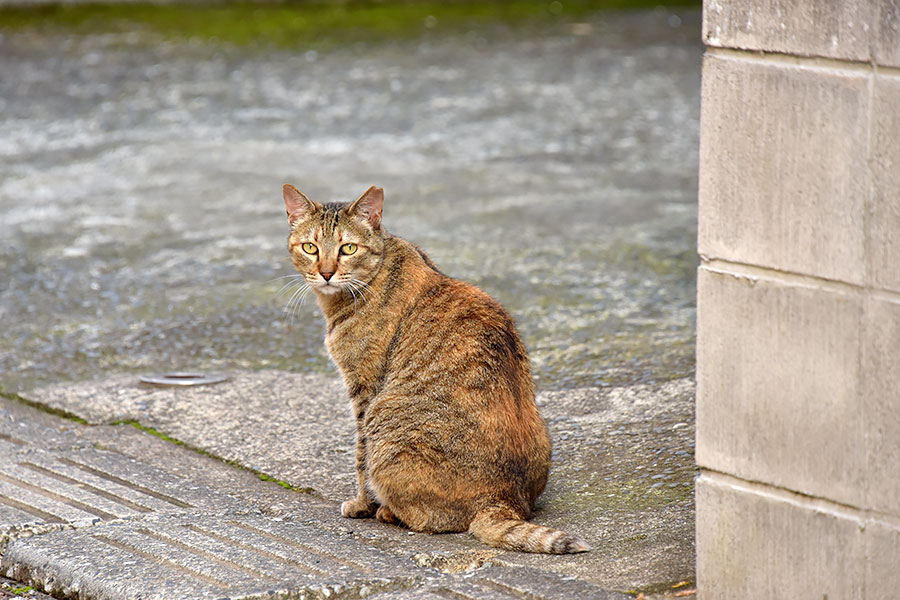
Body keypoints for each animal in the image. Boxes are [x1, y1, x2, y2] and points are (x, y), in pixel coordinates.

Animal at [284, 183, 592, 552]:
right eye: (310, 247)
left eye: (348, 248)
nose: (326, 273)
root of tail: (501, 499)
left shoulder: (364, 390)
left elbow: (360, 459)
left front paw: (361, 504)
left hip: (383, 417)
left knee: (429, 518)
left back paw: (387, 511)